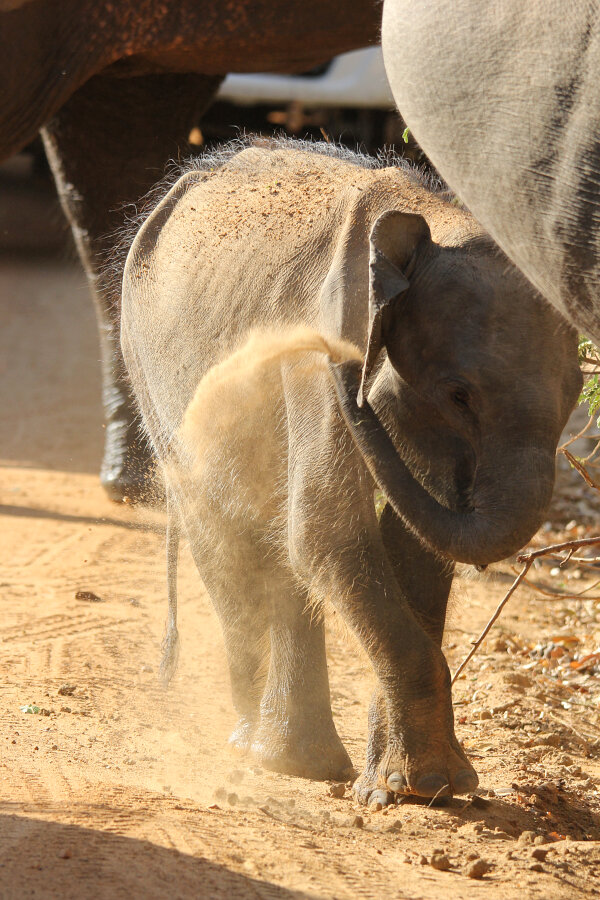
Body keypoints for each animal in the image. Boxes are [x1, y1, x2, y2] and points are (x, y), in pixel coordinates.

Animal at [120, 139, 581, 802]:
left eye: (579, 389)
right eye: (460, 395)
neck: (430, 222)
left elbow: (413, 546)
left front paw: (412, 787)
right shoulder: (317, 363)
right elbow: (330, 532)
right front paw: (427, 786)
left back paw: (291, 758)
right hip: (146, 368)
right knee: (227, 529)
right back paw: (272, 754)